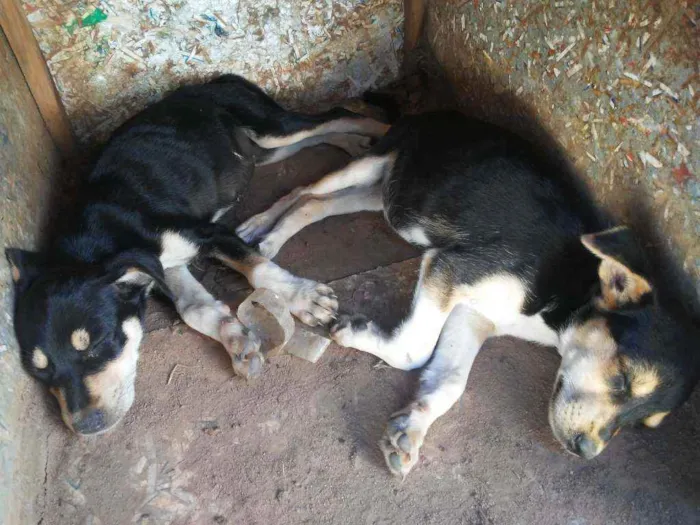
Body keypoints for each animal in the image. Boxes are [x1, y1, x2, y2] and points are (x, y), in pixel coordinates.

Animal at [4, 73, 388, 434]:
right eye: (39, 371)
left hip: (271, 128)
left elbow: (258, 269)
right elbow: (193, 310)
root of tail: (215, 79)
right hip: (259, 151)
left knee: (336, 116)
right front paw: (236, 339)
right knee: (318, 133)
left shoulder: (207, 233)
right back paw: (355, 144)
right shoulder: (164, 269)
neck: (97, 239)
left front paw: (304, 298)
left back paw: (385, 132)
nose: (85, 427)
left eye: (96, 344)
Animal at [239, 109, 700, 474]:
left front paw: (411, 428)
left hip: (386, 192)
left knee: (316, 204)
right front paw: (353, 331)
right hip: (373, 160)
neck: (568, 291)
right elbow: (415, 348)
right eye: (623, 380)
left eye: (643, 424)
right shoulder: (449, 269)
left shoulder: (472, 314)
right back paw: (259, 230)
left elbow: (448, 382)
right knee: (303, 191)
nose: (585, 451)